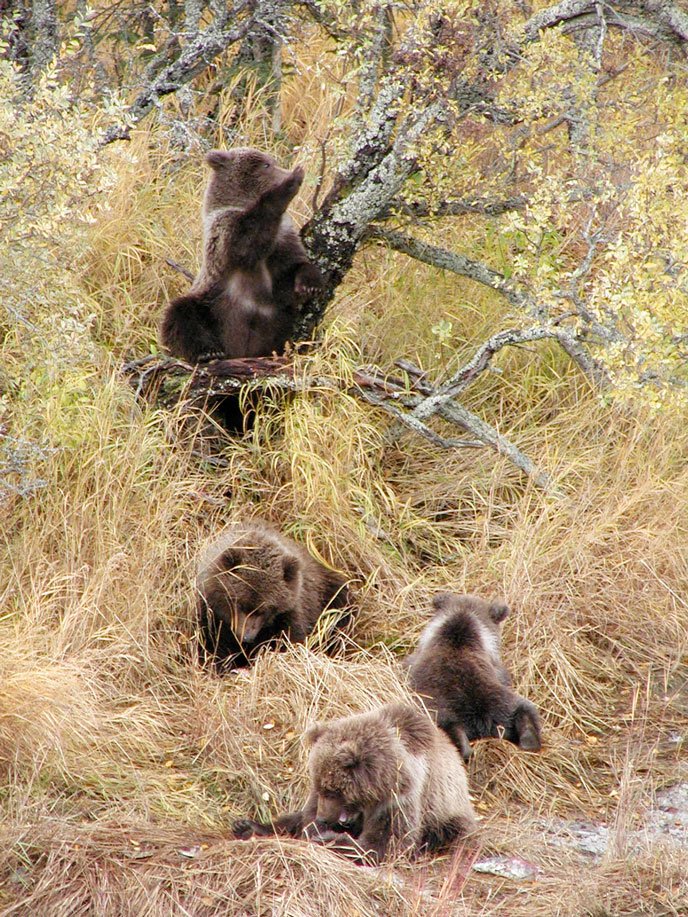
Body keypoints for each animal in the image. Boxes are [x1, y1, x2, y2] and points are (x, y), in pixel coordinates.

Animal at [160, 147, 323, 364]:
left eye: (271, 162)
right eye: (266, 165)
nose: (288, 172)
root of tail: (239, 352)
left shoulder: (282, 241)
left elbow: (291, 270)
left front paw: (310, 285)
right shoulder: (226, 232)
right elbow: (246, 241)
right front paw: (289, 184)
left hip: (277, 324)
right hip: (210, 305)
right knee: (180, 315)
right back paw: (208, 351)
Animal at [196, 520, 350, 670]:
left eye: (265, 609)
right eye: (238, 604)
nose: (246, 637)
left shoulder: (290, 614)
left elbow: (289, 640)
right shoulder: (211, 612)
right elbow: (214, 645)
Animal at [232, 702, 477, 864]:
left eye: (334, 790)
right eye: (319, 787)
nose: (323, 817)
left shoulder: (399, 798)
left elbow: (385, 843)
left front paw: (327, 839)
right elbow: (303, 819)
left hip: (446, 815)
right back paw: (247, 826)